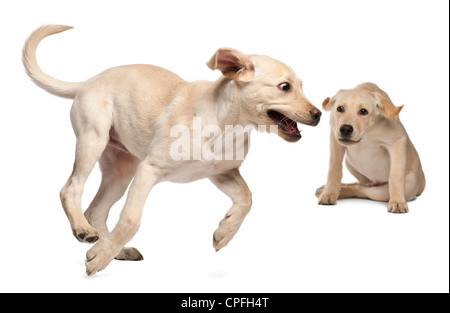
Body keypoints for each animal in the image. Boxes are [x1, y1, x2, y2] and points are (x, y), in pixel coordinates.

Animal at [23, 25, 324, 274]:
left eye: (301, 86)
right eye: (284, 87)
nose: (319, 114)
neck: (227, 124)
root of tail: (87, 82)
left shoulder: (221, 173)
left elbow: (247, 198)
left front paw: (224, 232)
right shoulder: (149, 170)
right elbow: (131, 219)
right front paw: (100, 258)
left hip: (121, 169)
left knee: (96, 210)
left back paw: (115, 249)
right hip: (93, 140)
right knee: (71, 188)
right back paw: (85, 232)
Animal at [316, 82, 426, 212]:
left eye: (364, 111)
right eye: (340, 108)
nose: (345, 129)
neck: (367, 133)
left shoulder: (398, 141)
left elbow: (395, 175)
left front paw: (397, 202)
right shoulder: (335, 138)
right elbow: (334, 168)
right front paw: (329, 193)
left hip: (396, 188)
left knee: (363, 190)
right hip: (349, 163)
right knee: (360, 185)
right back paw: (327, 189)